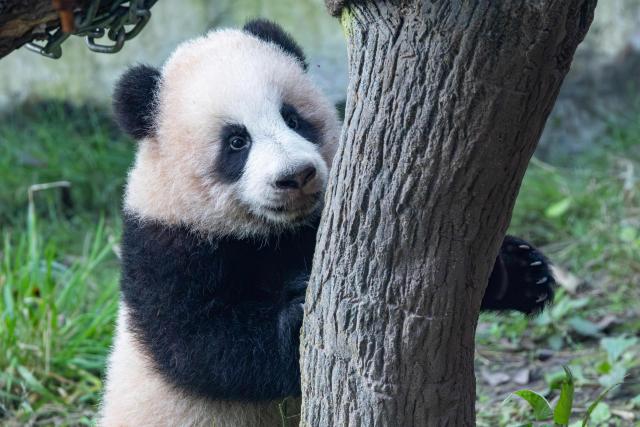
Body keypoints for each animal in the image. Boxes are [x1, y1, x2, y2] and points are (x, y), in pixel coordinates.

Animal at [99, 19, 555, 427]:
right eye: (236, 141)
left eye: (292, 118)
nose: (295, 176)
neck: (272, 233)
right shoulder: (167, 245)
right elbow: (202, 346)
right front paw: (299, 313)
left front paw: (521, 272)